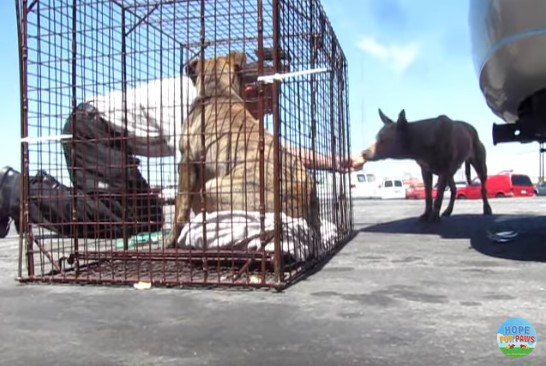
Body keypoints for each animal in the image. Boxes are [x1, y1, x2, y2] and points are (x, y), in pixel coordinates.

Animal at [356, 108, 488, 222]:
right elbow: (428, 196)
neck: (422, 140)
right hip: (450, 173)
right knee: (454, 189)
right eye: (376, 138)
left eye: (382, 140)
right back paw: (448, 211)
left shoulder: (443, 171)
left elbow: (439, 196)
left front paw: (434, 217)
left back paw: (487, 209)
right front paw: (426, 214)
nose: (363, 153)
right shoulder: (426, 171)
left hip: (479, 166)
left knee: (483, 188)